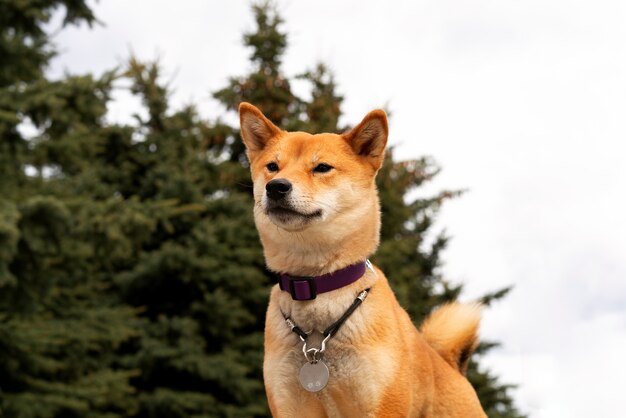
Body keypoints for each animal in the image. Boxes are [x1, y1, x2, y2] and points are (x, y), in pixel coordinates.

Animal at [236, 102, 486, 418]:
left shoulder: (382, 405)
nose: (277, 186)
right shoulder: (289, 404)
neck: (315, 288)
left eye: (322, 167)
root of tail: (451, 367)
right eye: (272, 167)